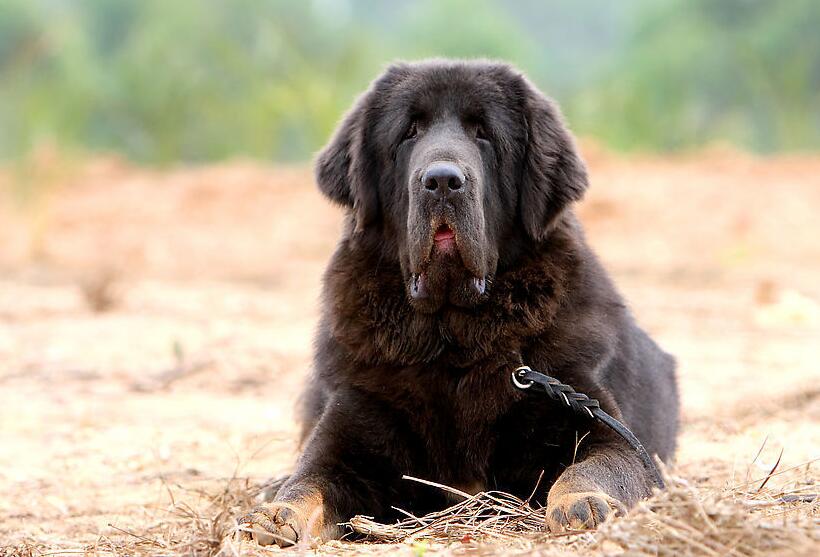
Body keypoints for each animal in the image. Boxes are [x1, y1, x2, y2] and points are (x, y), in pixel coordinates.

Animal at [240, 58, 684, 544]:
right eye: (409, 132)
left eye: (484, 133)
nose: (442, 181)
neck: (450, 339)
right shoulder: (348, 430)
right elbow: (309, 482)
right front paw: (276, 514)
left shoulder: (599, 423)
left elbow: (596, 467)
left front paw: (585, 504)